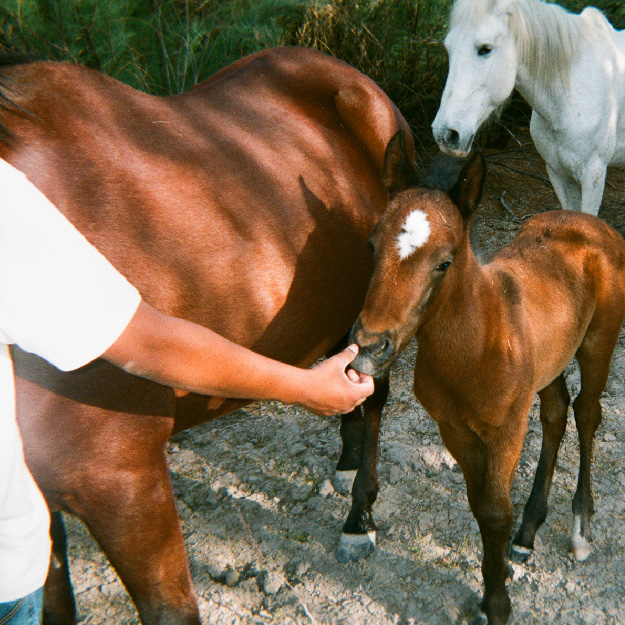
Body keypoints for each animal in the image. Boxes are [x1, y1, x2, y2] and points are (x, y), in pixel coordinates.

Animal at [348, 129, 624, 620]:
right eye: (372, 245)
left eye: (445, 261)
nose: (369, 347)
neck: (479, 343)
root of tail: (593, 224)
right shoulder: (454, 428)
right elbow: (480, 507)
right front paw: (498, 576)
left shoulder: (506, 429)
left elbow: (496, 512)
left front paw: (496, 605)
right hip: (549, 360)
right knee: (556, 411)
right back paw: (528, 533)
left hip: (599, 342)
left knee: (588, 413)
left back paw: (580, 527)